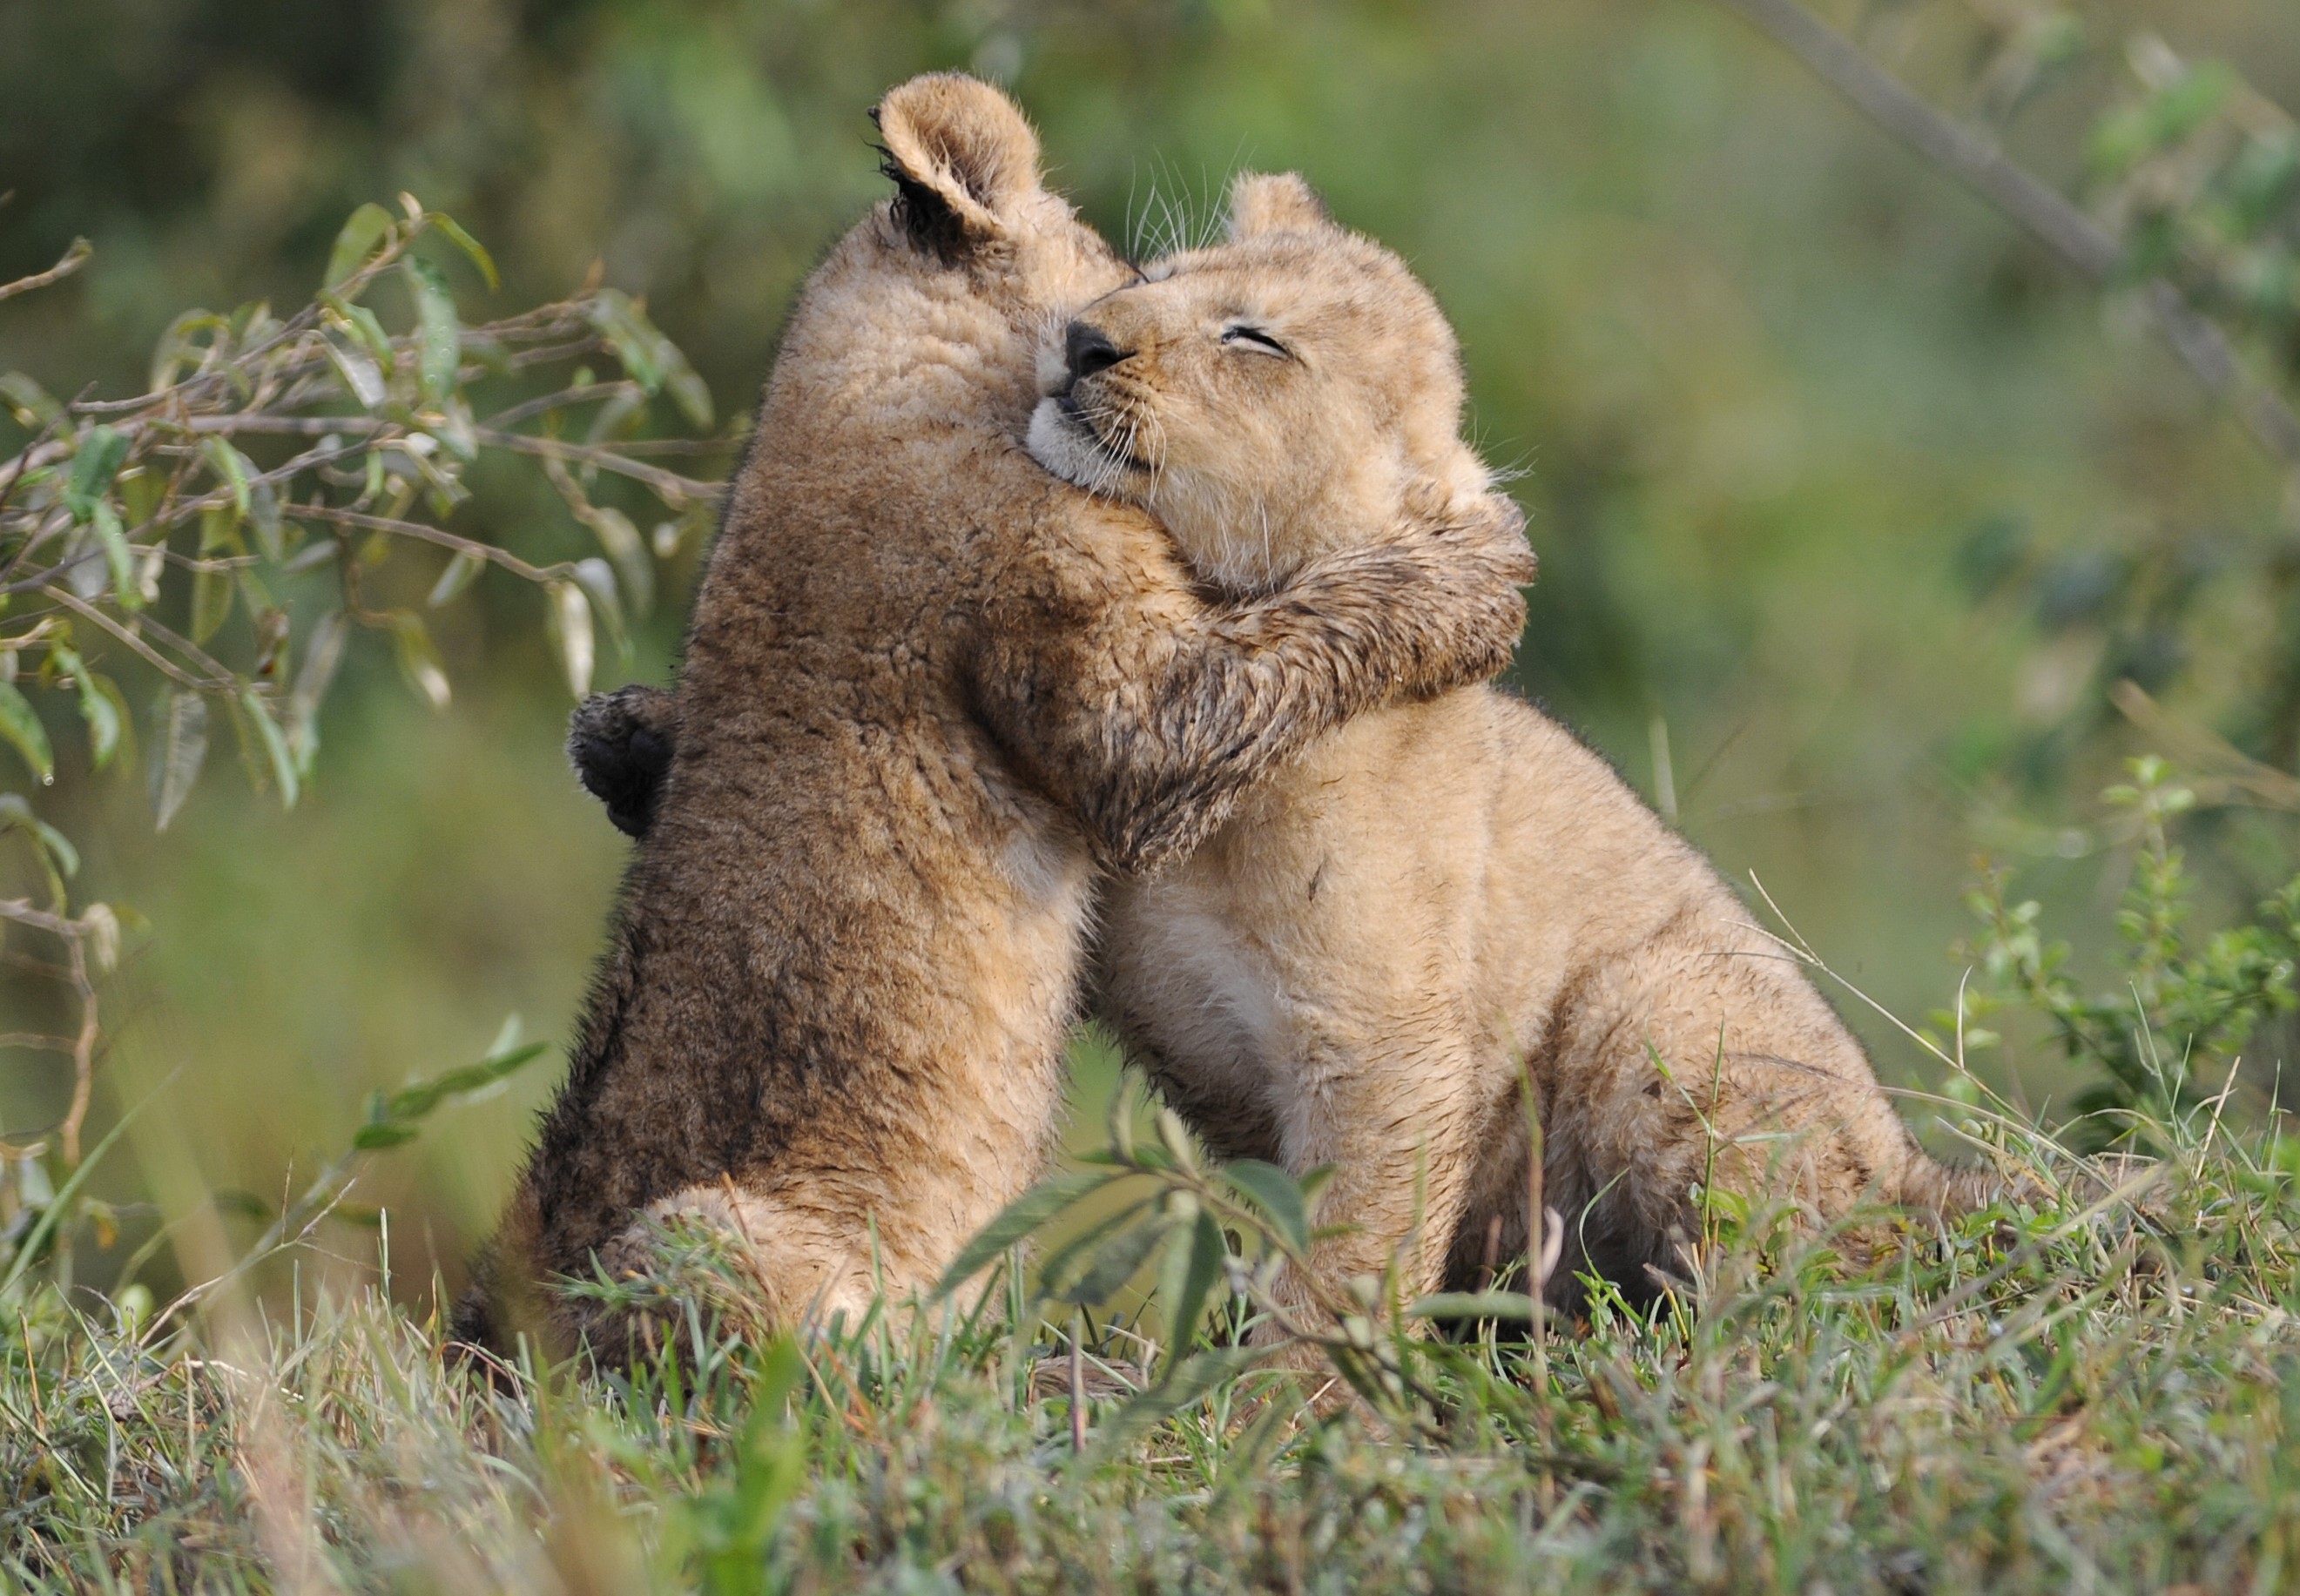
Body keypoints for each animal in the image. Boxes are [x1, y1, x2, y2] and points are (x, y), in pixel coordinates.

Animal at [453, 78, 1536, 1360]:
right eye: (1138, 269)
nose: (1093, 340)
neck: (856, 370)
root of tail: (493, 1352)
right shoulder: (1125, 701)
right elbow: (1310, 632)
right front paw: (1481, 571)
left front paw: (626, 736)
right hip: (691, 1239)